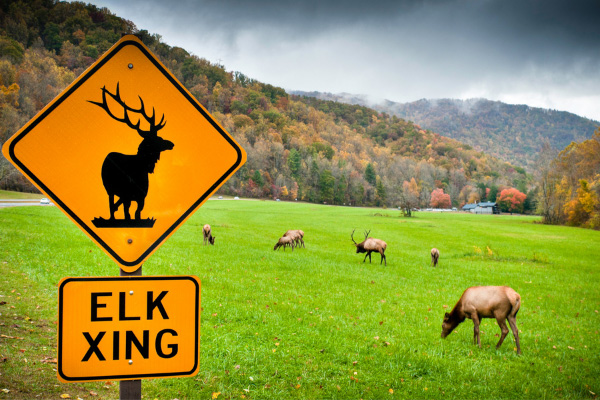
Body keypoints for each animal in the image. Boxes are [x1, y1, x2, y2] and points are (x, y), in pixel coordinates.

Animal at [89, 84, 173, 222]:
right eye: (158, 139)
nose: (171, 144)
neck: (141, 169)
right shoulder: (126, 195)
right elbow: (127, 212)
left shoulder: (141, 196)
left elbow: (136, 213)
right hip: (109, 189)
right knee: (111, 204)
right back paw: (112, 218)